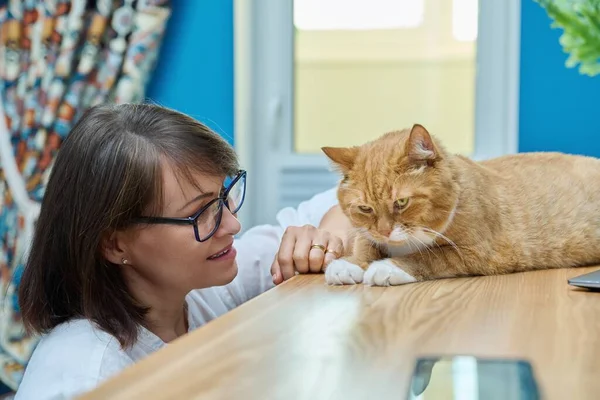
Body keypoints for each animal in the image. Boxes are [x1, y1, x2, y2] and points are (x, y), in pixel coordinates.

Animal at [324, 124, 600, 284]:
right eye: (365, 209)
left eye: (401, 202)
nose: (384, 231)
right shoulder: (368, 235)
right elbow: (365, 245)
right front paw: (349, 263)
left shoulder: (475, 252)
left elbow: (429, 256)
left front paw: (388, 267)